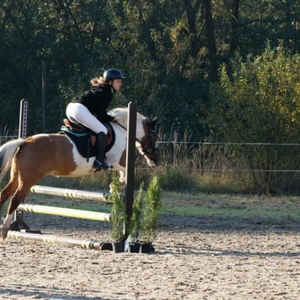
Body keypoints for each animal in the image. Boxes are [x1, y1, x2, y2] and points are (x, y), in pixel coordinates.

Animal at [0, 108, 159, 239]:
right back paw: (5, 229)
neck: (122, 130)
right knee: (15, 199)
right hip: (28, 181)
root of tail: (24, 142)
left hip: (16, 177)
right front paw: (115, 187)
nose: (155, 161)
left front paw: (115, 187)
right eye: (154, 135)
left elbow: (125, 173)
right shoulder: (116, 162)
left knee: (5, 194)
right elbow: (127, 171)